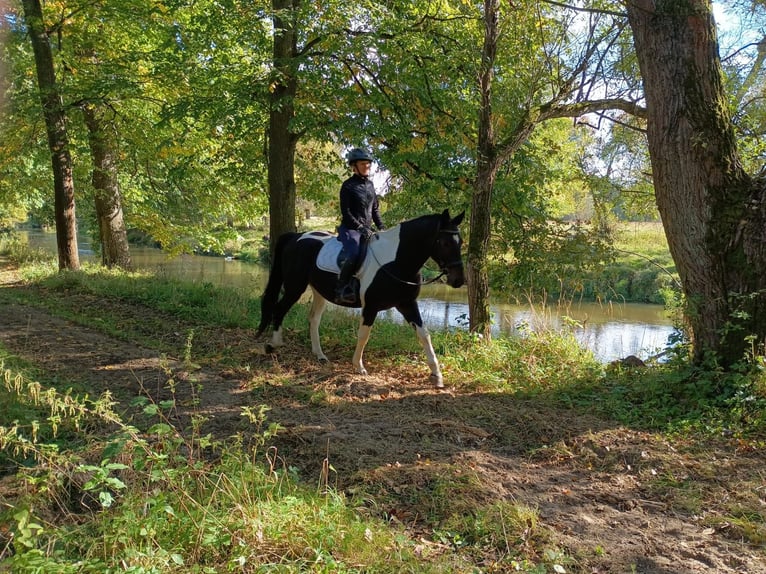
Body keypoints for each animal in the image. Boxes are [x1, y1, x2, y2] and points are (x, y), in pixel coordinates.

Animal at [257, 209, 466, 387]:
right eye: (445, 243)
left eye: (461, 241)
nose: (458, 280)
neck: (395, 262)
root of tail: (296, 237)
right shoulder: (371, 306)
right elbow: (364, 335)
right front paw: (359, 366)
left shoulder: (407, 304)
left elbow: (424, 335)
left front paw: (437, 375)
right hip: (295, 287)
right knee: (279, 309)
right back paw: (274, 345)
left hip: (318, 292)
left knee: (313, 319)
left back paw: (319, 355)